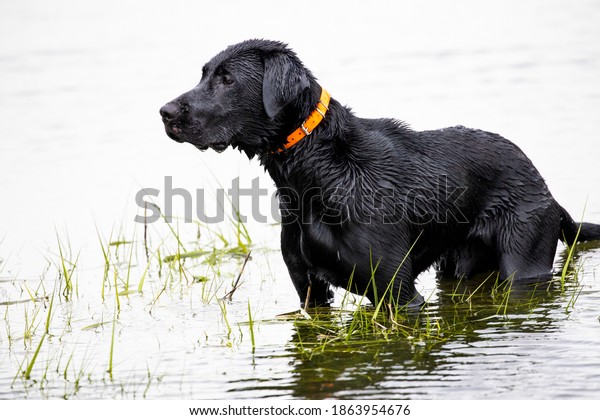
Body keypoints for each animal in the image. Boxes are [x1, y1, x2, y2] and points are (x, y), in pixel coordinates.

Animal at [159, 40, 600, 308]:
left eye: (227, 79)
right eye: (203, 73)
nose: (165, 112)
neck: (316, 173)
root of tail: (545, 186)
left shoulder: (398, 291)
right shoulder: (309, 290)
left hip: (523, 263)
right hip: (457, 262)